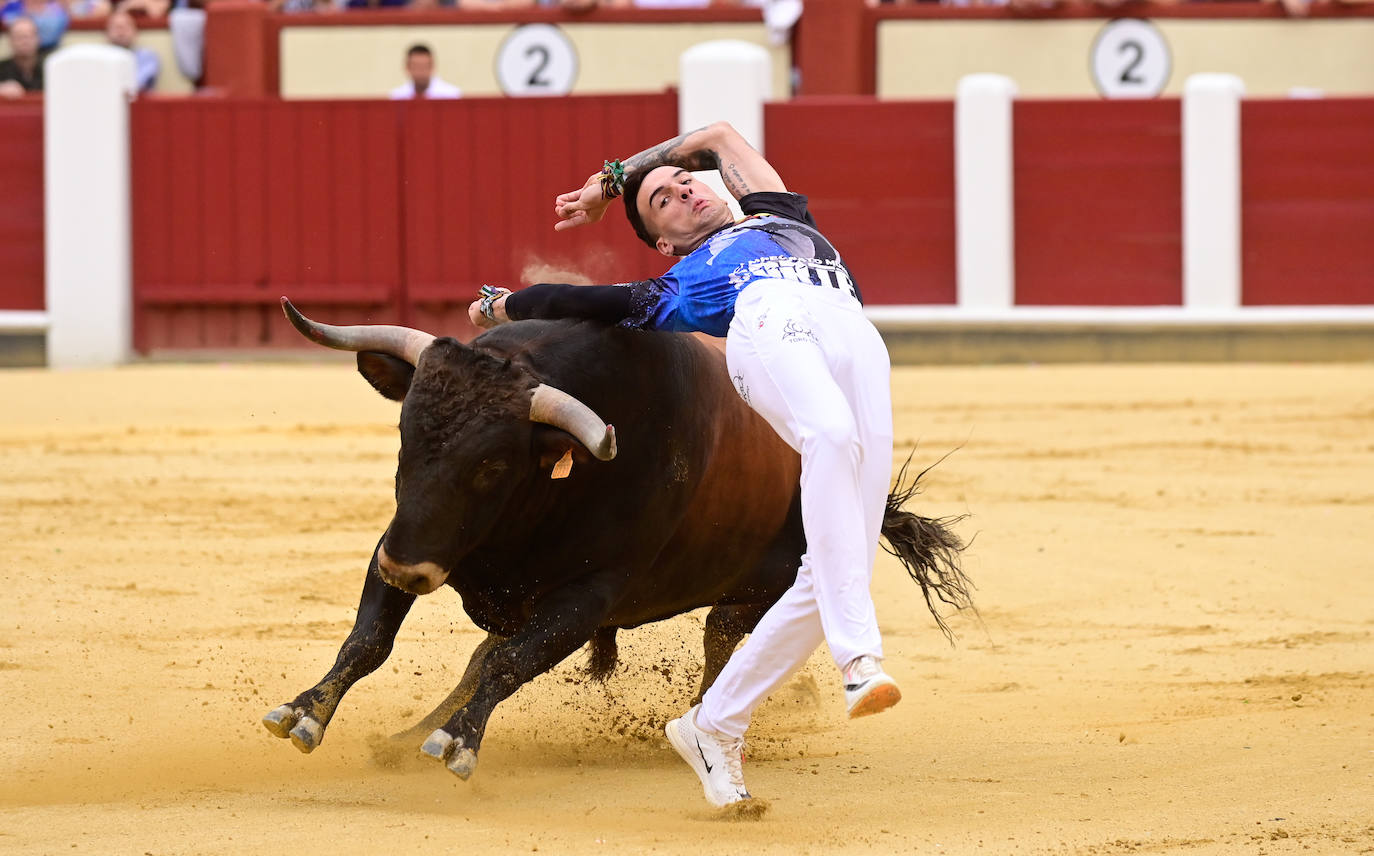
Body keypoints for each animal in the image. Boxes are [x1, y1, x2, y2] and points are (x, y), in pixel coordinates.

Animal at [262, 300, 972, 785]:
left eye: (493, 464)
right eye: (406, 431)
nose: (409, 571)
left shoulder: (589, 597)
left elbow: (510, 662)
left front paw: (458, 744)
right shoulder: (405, 535)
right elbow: (372, 639)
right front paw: (305, 713)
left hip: (762, 586)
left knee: (721, 641)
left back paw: (700, 730)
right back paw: (405, 737)